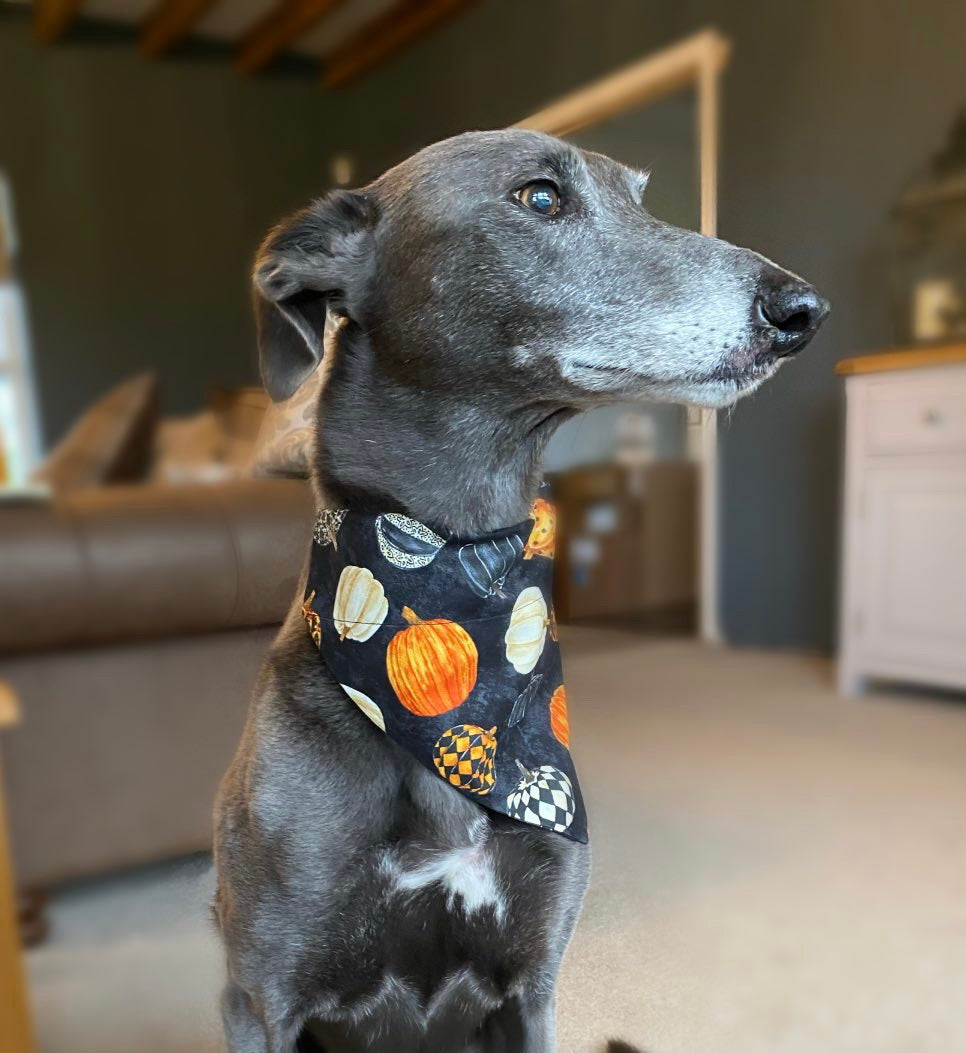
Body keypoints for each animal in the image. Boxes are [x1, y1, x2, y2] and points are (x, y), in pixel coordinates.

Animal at [212, 129, 830, 1053]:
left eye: (642, 198)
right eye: (539, 197)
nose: (800, 309)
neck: (457, 570)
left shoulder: (531, 983)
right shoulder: (259, 1000)